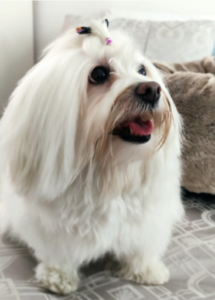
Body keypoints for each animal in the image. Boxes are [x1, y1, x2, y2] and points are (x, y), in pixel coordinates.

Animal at [0, 19, 184, 294]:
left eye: (142, 70)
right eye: (98, 74)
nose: (152, 89)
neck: (109, 171)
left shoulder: (144, 219)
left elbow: (139, 248)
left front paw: (146, 269)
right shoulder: (54, 226)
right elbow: (58, 252)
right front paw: (59, 277)